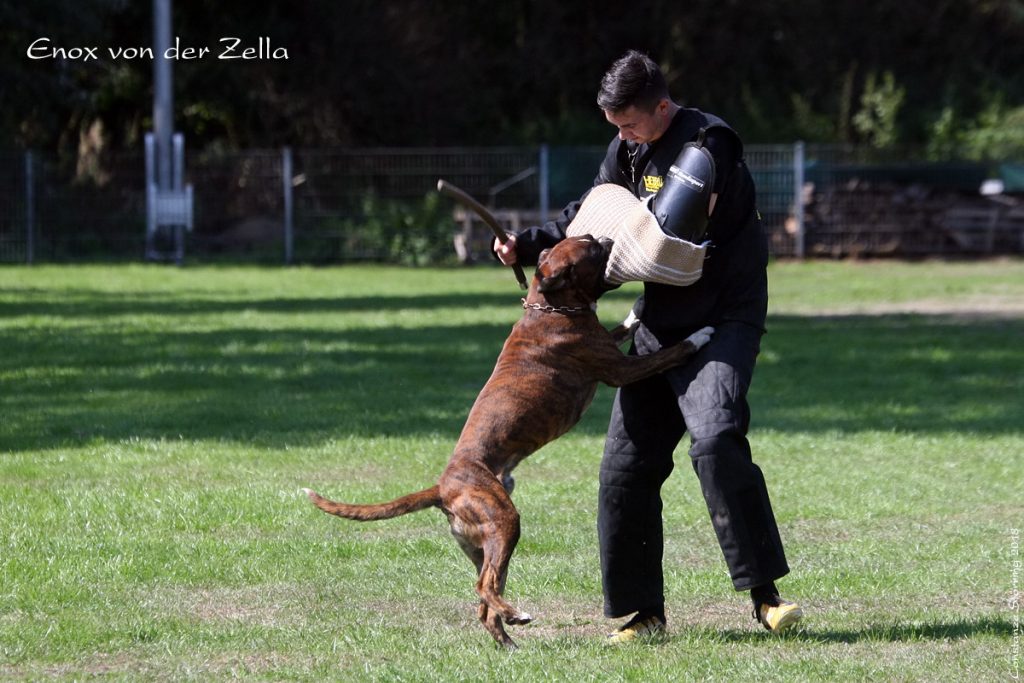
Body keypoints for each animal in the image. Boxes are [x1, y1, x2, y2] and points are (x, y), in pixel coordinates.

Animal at [299, 235, 708, 647]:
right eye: (591, 250)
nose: (606, 238)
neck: (549, 306)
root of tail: (442, 487)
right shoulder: (620, 369)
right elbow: (668, 353)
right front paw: (699, 336)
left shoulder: (608, 343)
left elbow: (623, 327)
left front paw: (637, 310)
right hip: (503, 520)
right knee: (484, 588)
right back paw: (517, 616)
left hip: (485, 543)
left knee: (484, 601)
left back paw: (509, 642)